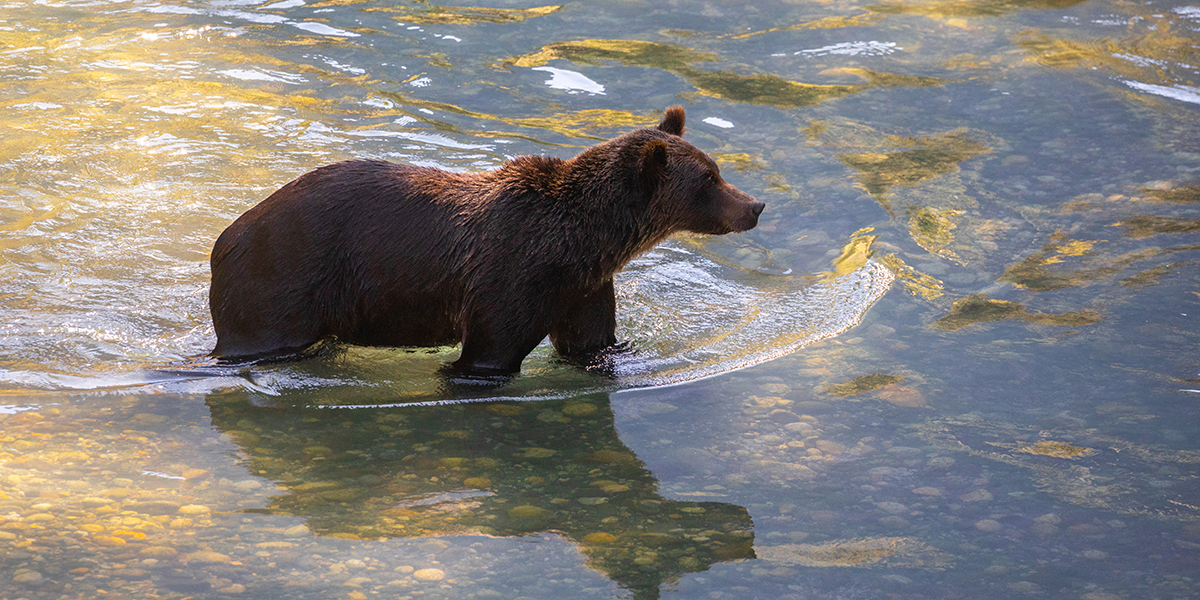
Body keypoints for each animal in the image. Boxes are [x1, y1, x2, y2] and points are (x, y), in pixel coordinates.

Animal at [210, 105, 763, 372]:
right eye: (708, 180)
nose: (755, 206)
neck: (581, 242)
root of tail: (225, 238)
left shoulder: (582, 286)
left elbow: (591, 343)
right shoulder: (511, 276)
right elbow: (489, 353)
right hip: (283, 279)